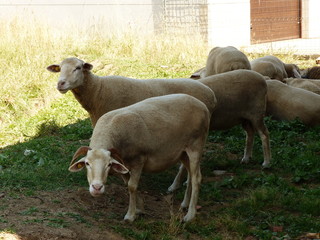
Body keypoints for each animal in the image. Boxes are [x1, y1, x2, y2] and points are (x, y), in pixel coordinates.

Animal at [69, 93, 211, 222]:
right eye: (87, 163)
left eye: (108, 164)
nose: (97, 188)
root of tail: (202, 105)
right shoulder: (123, 166)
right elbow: (127, 184)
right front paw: (140, 208)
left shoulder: (138, 160)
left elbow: (132, 186)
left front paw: (130, 215)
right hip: (182, 152)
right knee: (190, 175)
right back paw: (185, 204)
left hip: (196, 146)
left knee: (197, 178)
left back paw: (190, 215)